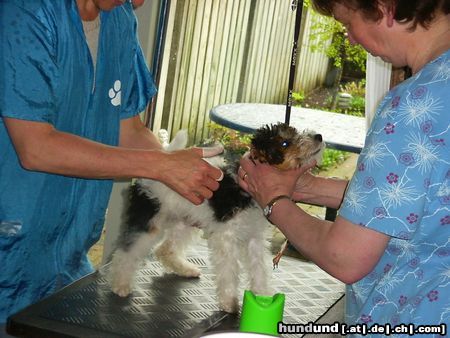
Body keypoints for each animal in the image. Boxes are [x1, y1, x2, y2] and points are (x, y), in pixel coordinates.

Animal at [109, 123, 326, 312]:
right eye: (285, 143)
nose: (318, 136)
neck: (246, 192)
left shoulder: (254, 239)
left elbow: (259, 269)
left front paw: (263, 296)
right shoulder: (226, 238)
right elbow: (229, 272)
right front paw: (230, 303)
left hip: (185, 222)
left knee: (165, 250)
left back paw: (184, 269)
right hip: (149, 221)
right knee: (126, 253)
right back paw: (120, 284)